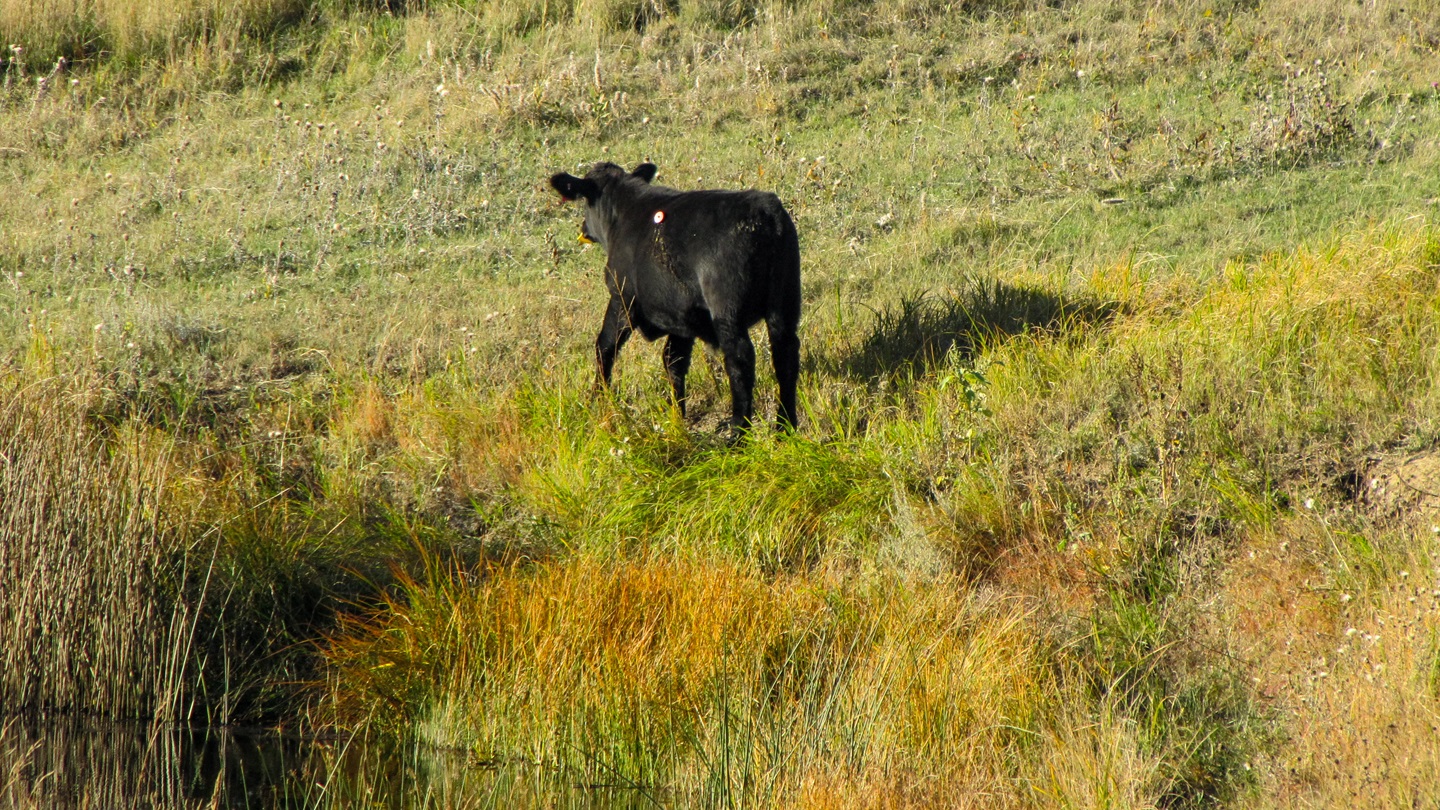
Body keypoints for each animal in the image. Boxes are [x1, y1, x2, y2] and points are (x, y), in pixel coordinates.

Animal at [549, 161, 801, 434]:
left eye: (586, 202)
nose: (584, 229)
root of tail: (765, 210)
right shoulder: (681, 315)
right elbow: (673, 361)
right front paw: (676, 416)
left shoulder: (622, 298)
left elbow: (605, 346)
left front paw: (598, 398)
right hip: (785, 301)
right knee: (785, 353)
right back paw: (785, 425)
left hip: (727, 310)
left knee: (740, 359)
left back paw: (737, 430)